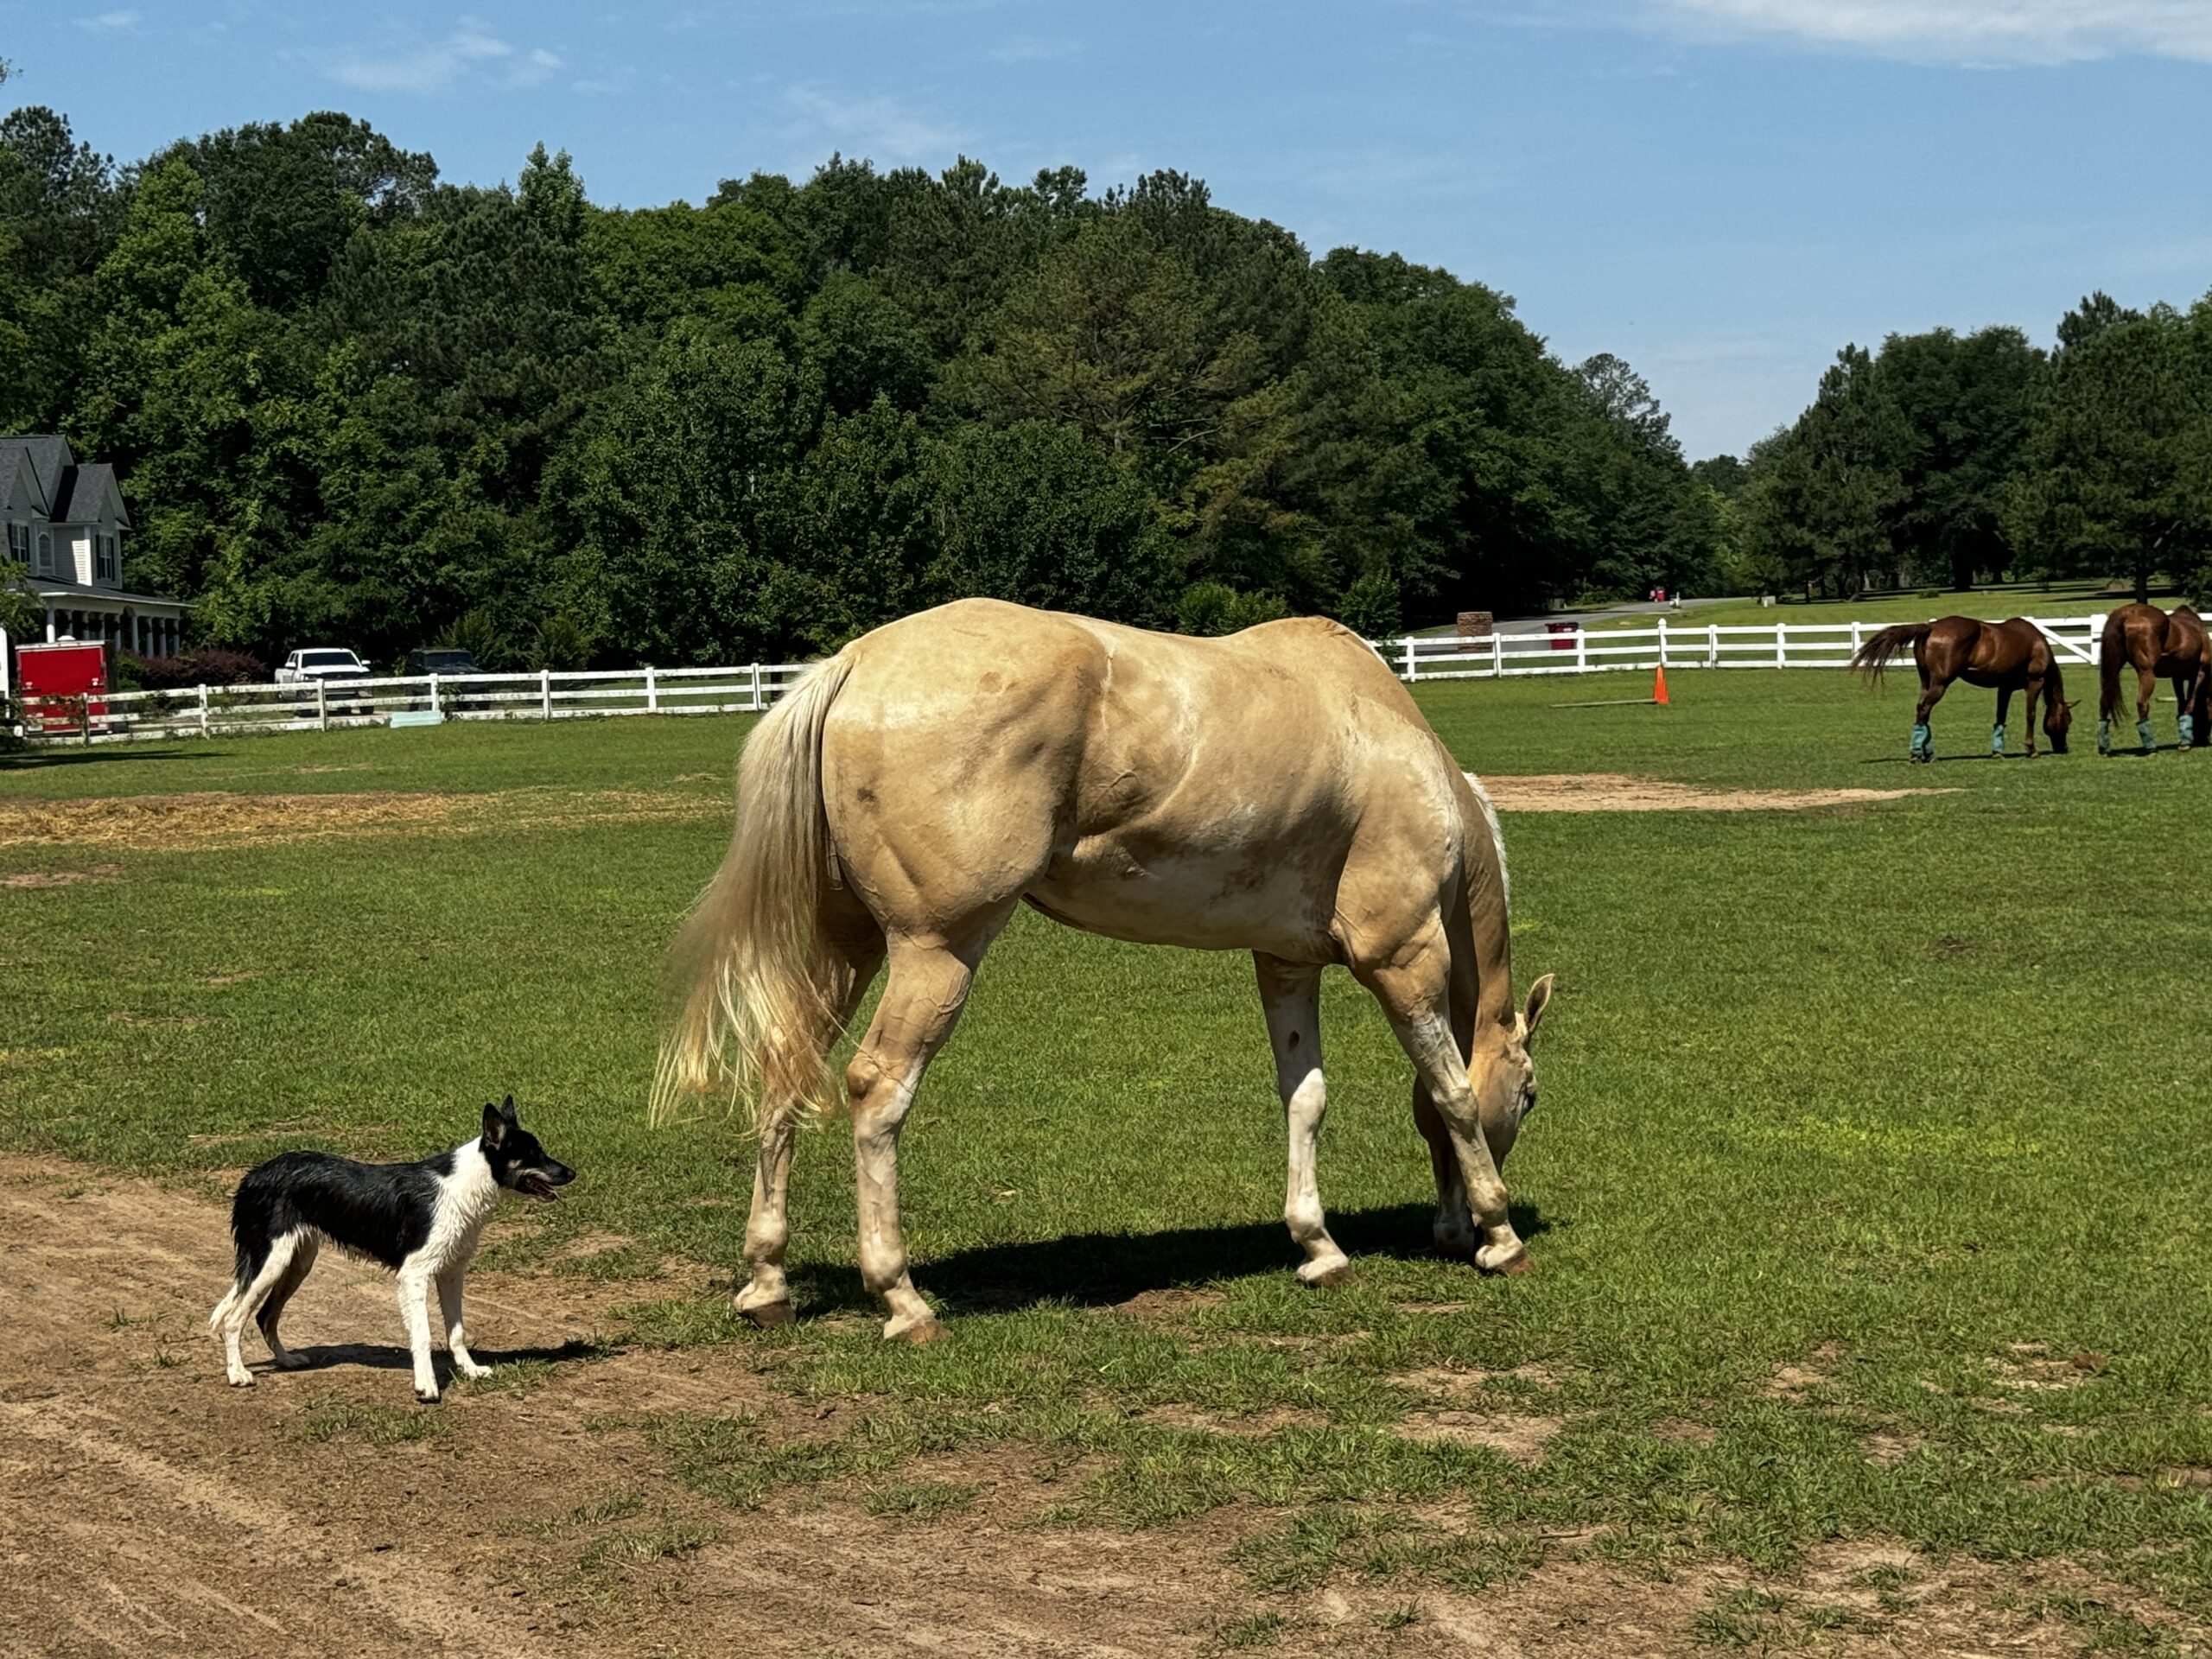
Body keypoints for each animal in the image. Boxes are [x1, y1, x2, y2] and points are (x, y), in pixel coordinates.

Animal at [212, 1106, 575, 1407]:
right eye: (533, 1154)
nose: (572, 1173)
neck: (464, 1188)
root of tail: (253, 1175)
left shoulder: (452, 1273)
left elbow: (456, 1332)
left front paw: (470, 1370)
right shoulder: (414, 1275)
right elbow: (424, 1335)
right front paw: (426, 1385)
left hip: (297, 1262)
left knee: (265, 1316)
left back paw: (287, 1361)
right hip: (270, 1261)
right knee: (234, 1319)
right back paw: (237, 1374)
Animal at [654, 606, 1557, 1344]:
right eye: (1532, 1093)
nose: (1446, 1233)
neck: (1397, 750)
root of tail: (856, 663)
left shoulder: (1287, 964)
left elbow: (1306, 1099)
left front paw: (1319, 1247)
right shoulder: (1403, 957)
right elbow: (1451, 1091)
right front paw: (1498, 1234)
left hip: (848, 949)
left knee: (787, 1067)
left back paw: (766, 1282)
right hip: (936, 950)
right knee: (878, 1089)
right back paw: (903, 1300)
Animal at [1849, 614, 2070, 765]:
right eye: (2068, 720)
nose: (2064, 748)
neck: (2036, 643)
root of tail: (1931, 626)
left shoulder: (2004, 688)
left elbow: (2000, 717)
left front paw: (1997, 752)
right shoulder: (2035, 682)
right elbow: (2030, 715)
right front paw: (2031, 749)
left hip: (1927, 682)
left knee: (1922, 710)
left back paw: (1926, 753)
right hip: (1940, 684)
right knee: (1924, 709)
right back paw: (1919, 754)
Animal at [2088, 606, 2212, 760]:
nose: (2203, 740)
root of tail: (2125, 613)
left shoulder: (2177, 677)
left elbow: (2182, 704)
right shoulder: (2200, 673)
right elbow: (2190, 702)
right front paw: (2185, 743)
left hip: (2112, 670)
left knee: (2104, 702)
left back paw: (2104, 749)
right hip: (2146, 673)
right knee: (2142, 703)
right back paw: (2151, 748)